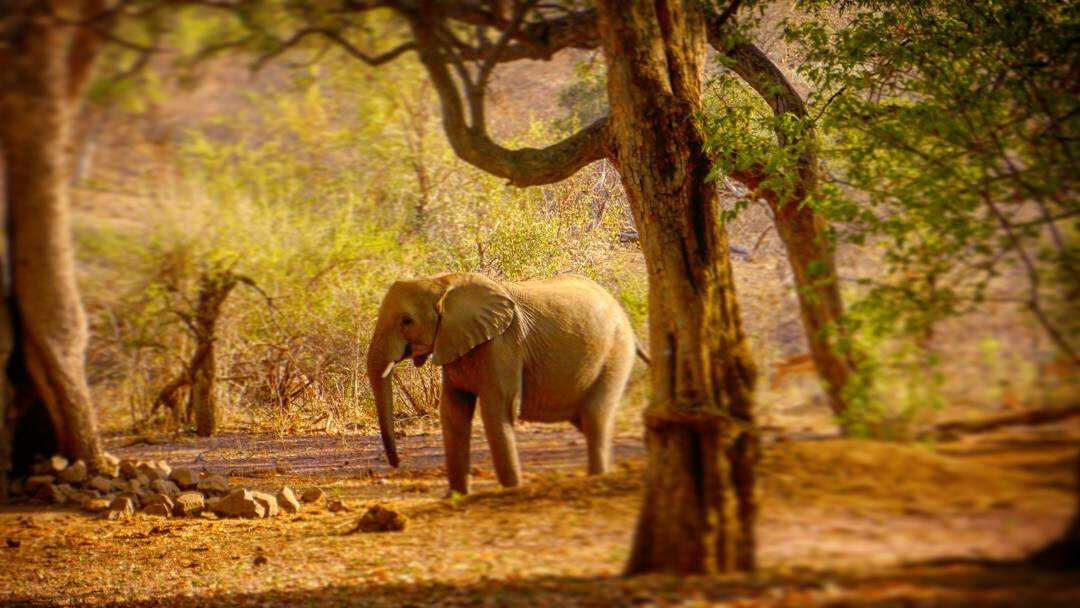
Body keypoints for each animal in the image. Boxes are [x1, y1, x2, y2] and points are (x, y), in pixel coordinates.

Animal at [367, 272, 643, 494]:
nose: (396, 463)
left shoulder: (503, 344)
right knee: (586, 420)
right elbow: (454, 413)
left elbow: (496, 409)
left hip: (615, 354)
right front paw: (456, 497)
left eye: (406, 321)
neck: (442, 282)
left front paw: (512, 489)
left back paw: (598, 477)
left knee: (595, 418)